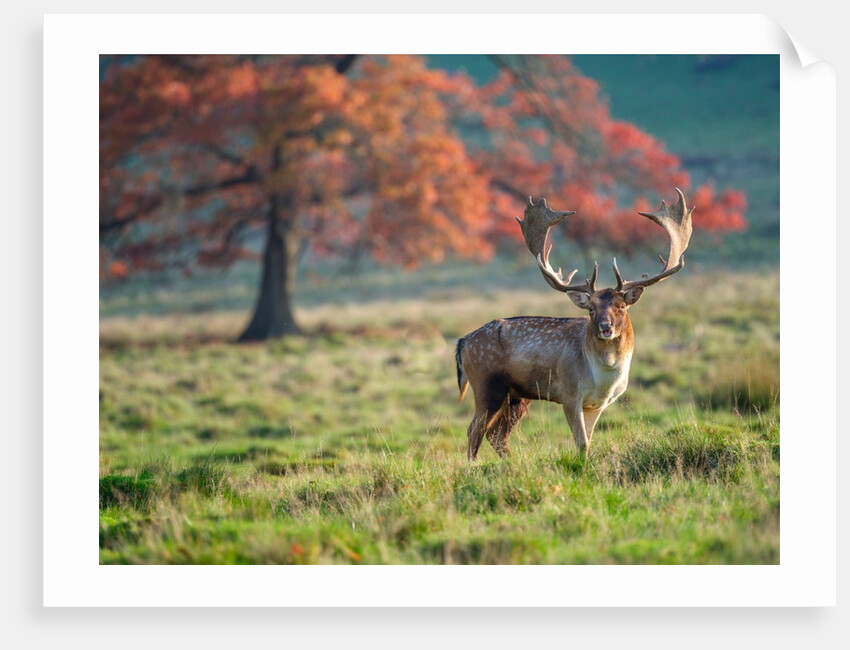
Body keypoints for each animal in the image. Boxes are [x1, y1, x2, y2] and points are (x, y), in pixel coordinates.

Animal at [455, 188, 694, 461]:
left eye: (621, 306)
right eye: (591, 308)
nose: (605, 327)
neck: (603, 380)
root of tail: (462, 342)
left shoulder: (596, 404)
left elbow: (587, 442)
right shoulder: (569, 394)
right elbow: (581, 442)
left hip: (516, 395)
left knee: (496, 434)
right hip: (486, 384)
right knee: (474, 429)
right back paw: (473, 466)